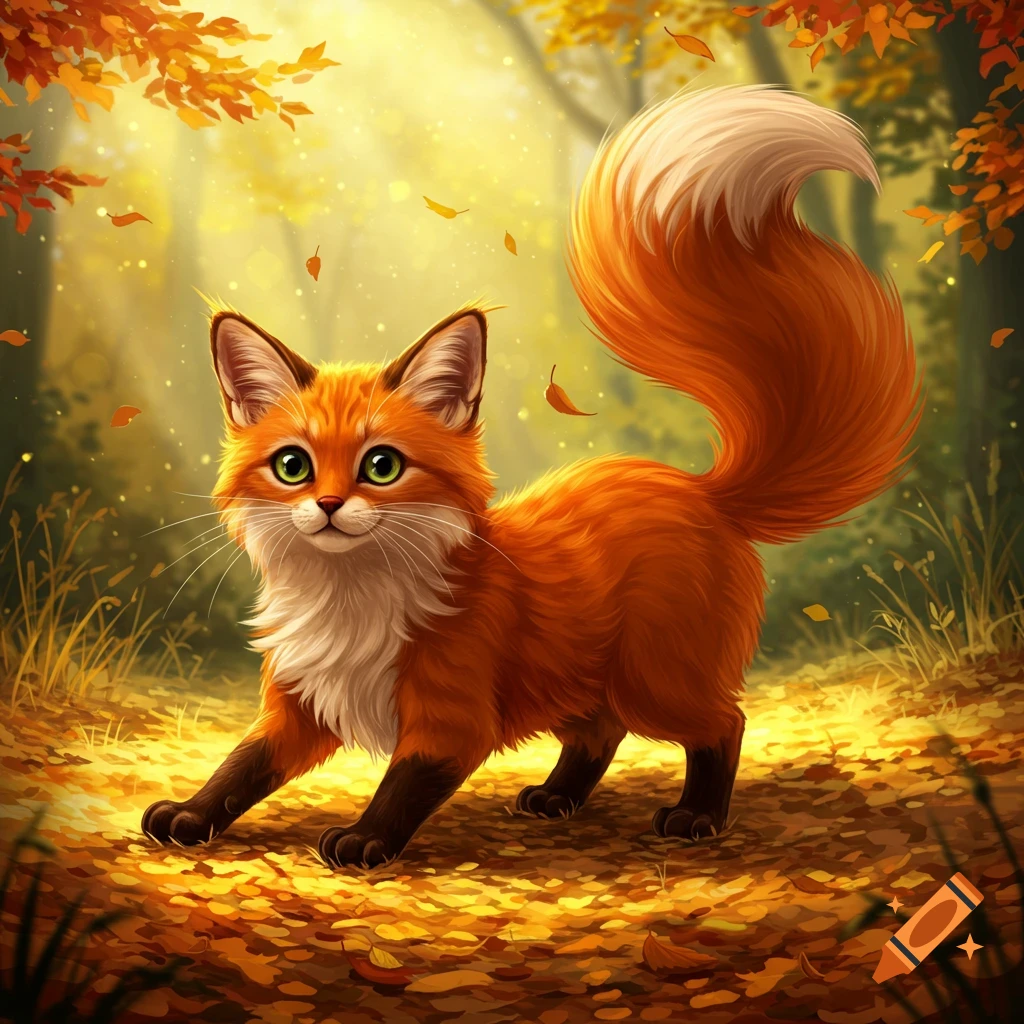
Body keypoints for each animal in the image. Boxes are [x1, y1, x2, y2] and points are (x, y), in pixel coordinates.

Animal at [143, 86, 919, 867]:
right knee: (601, 734)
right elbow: (239, 768)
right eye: (293, 466)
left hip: (656, 683)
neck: (353, 605)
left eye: (381, 466)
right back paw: (558, 797)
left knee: (723, 723)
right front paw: (190, 815)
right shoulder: (299, 705)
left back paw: (698, 815)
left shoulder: (451, 720)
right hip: (588, 684)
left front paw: (365, 839)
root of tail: (701, 489)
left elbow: (401, 785)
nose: (329, 504)